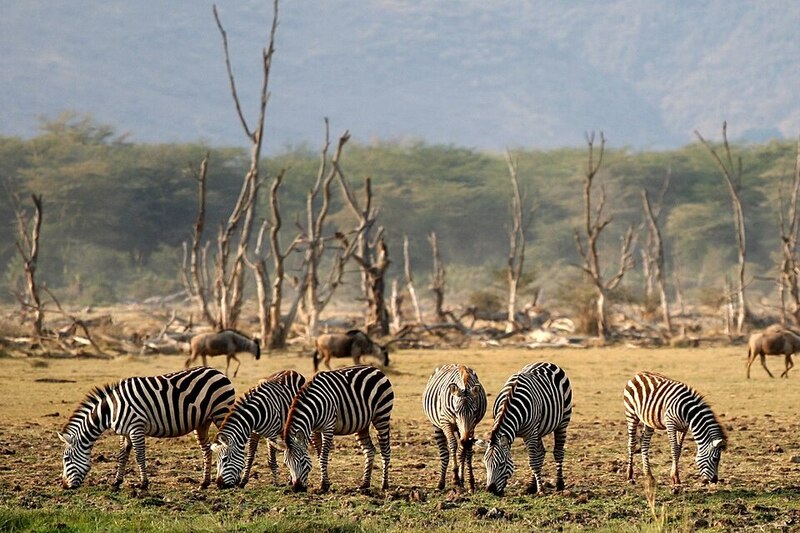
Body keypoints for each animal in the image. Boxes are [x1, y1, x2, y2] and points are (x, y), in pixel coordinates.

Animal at [58, 367, 235, 489]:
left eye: (66, 459)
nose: (64, 486)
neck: (111, 410)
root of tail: (219, 372)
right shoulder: (125, 432)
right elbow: (122, 455)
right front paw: (117, 482)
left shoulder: (136, 427)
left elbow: (139, 455)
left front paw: (143, 484)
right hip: (202, 422)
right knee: (207, 449)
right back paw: (204, 483)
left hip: (221, 413)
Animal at [483, 362, 572, 496]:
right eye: (485, 463)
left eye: (502, 464)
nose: (490, 490)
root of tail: (547, 362)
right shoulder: (530, 433)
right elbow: (535, 459)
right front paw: (535, 487)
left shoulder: (530, 433)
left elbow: (533, 462)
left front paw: (541, 490)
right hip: (539, 430)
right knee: (541, 453)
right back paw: (531, 486)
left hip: (562, 422)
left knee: (558, 452)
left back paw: (559, 484)